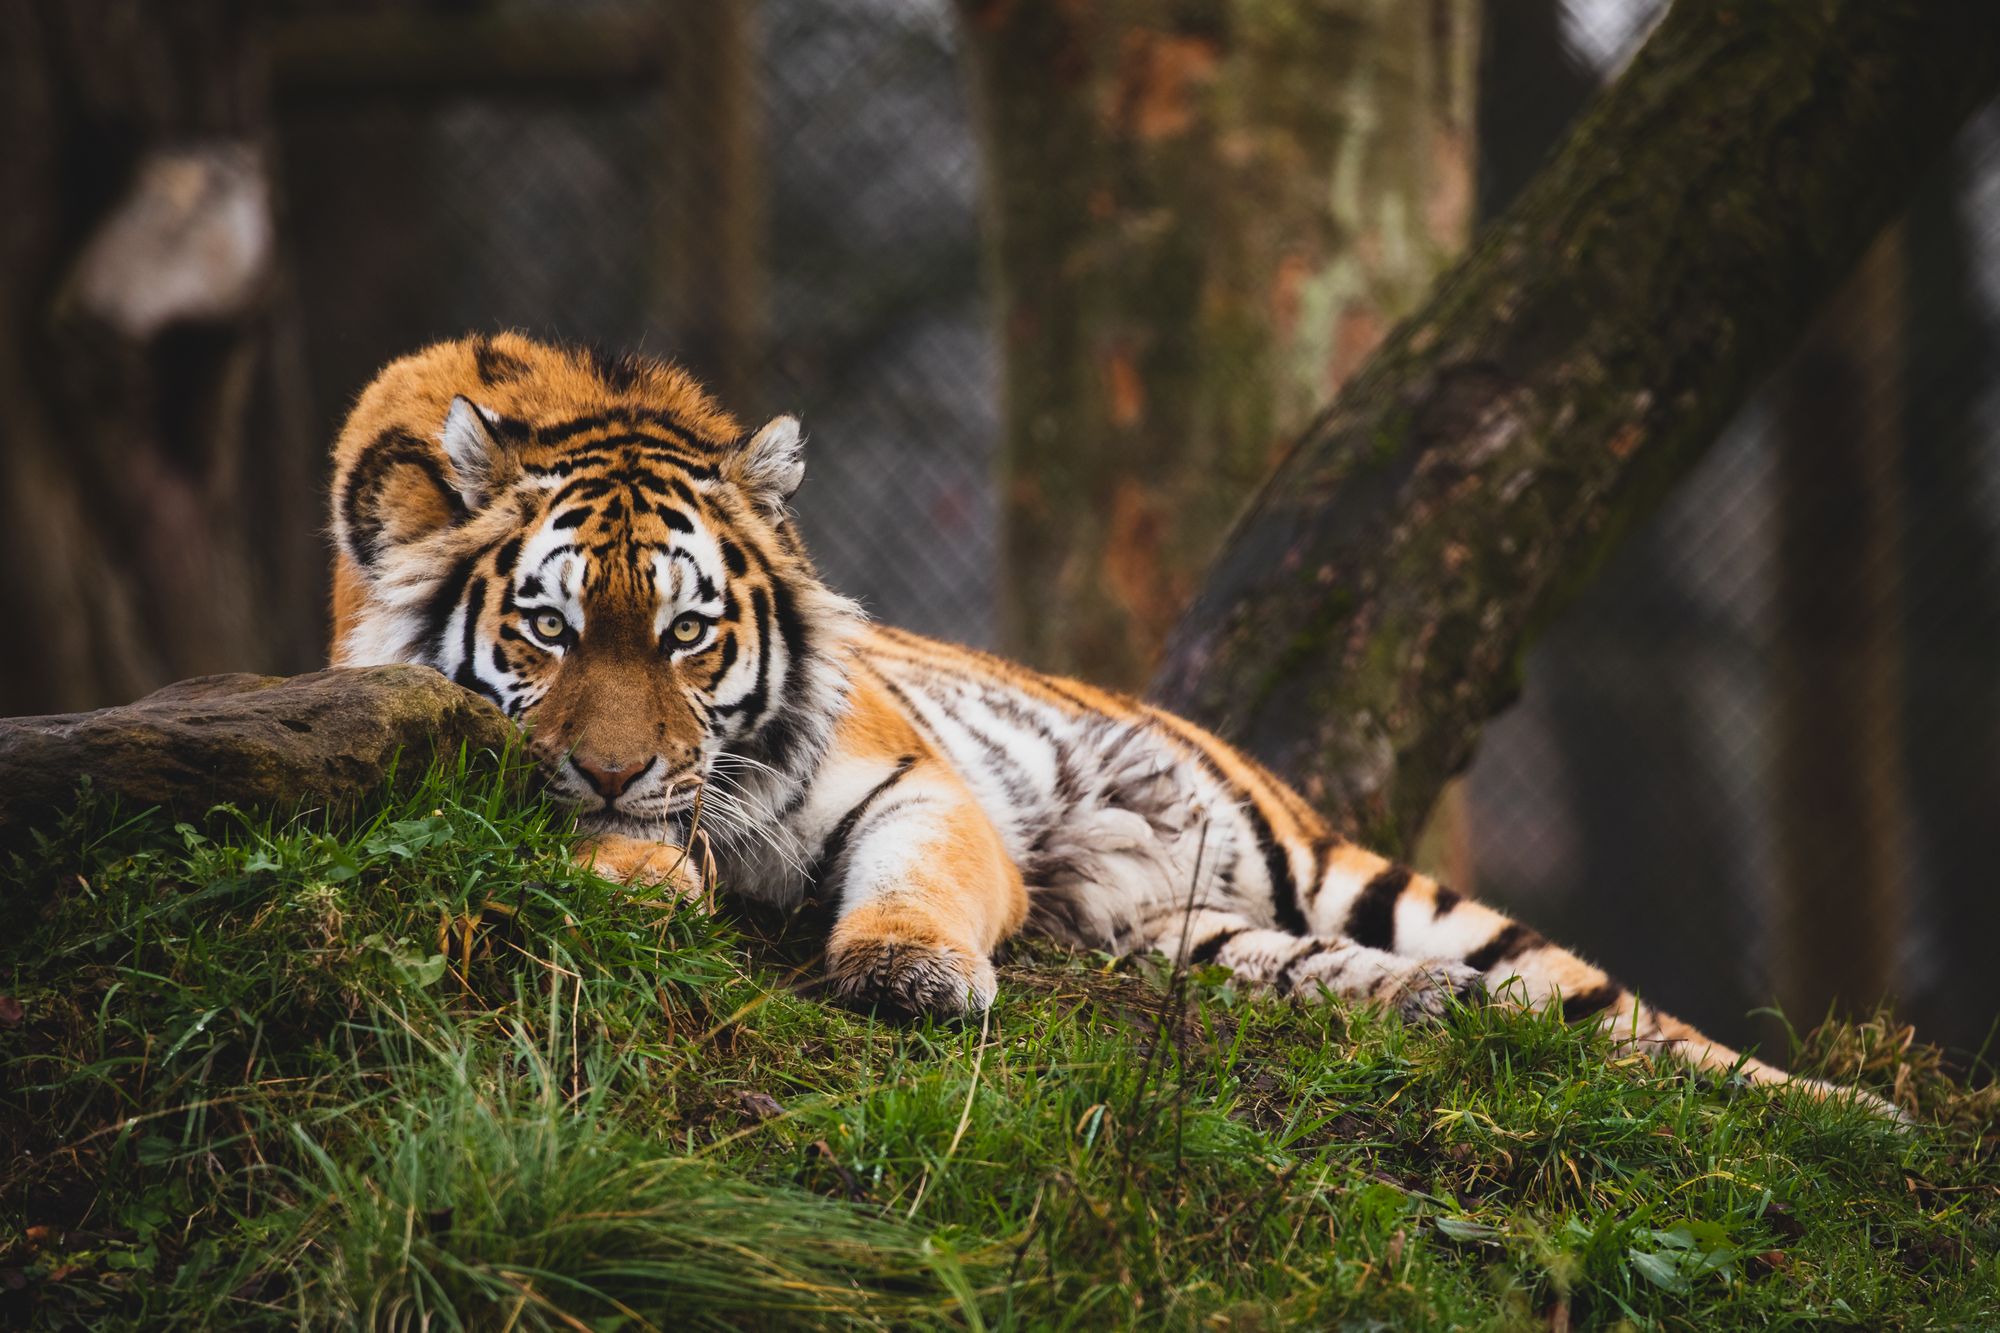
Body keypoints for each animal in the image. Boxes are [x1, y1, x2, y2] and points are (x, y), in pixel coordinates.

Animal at [328, 332, 1893, 1116]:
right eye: (546, 629)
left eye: (686, 632)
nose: (612, 771)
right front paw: (632, 863)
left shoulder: (917, 785)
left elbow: (915, 882)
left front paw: (909, 975)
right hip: (1200, 940)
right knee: (1419, 993)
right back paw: (1440, 1013)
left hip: (1363, 879)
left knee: (1631, 1018)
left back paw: (1860, 1115)